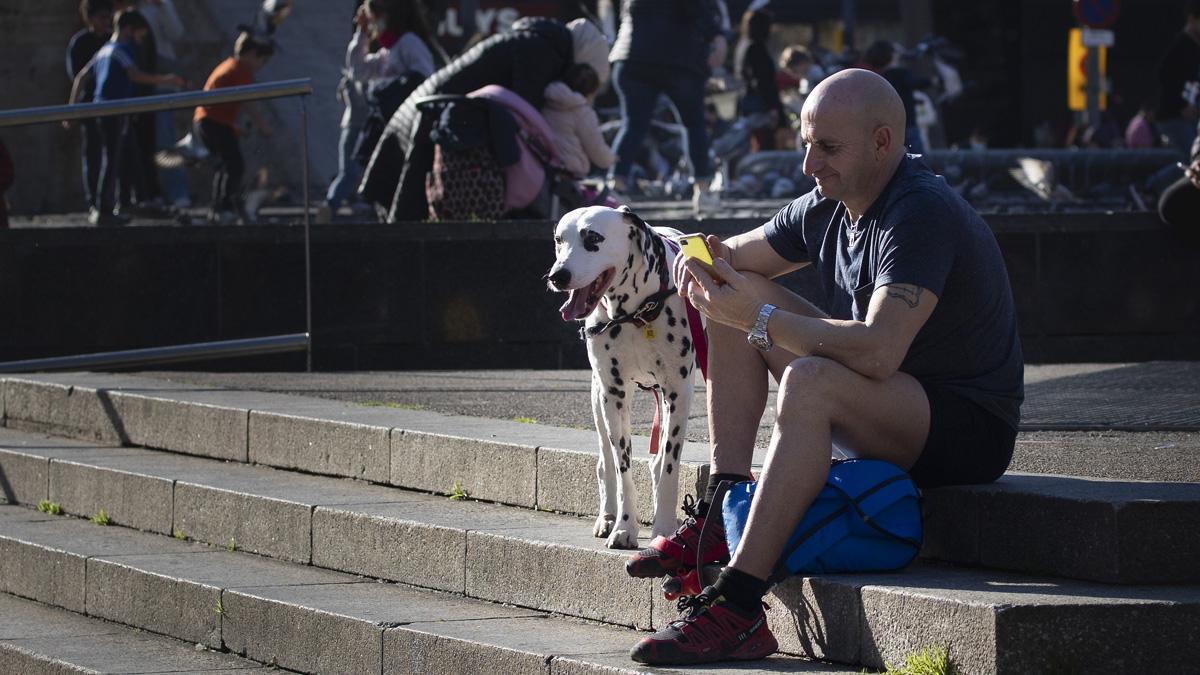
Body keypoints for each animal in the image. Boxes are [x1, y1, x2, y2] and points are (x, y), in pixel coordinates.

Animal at [547, 204, 700, 547]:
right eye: (559, 239)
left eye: (593, 238)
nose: (557, 276)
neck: (635, 314)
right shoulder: (614, 396)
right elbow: (623, 468)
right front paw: (624, 527)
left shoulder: (678, 393)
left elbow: (669, 466)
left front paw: (664, 527)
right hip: (598, 401)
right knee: (605, 462)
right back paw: (606, 517)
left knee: (657, 462)